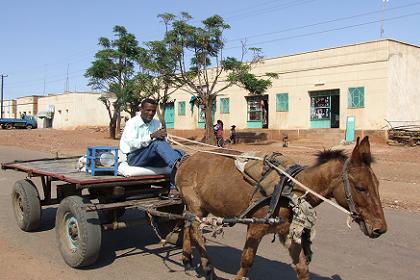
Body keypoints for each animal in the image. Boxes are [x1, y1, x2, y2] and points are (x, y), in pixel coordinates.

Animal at [174, 135, 388, 278]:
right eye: (361, 187)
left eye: (377, 184)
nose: (381, 228)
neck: (291, 190)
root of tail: (186, 159)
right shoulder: (255, 228)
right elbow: (246, 262)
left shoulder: (289, 232)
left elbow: (302, 267)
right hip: (195, 205)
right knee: (195, 231)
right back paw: (207, 267)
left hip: (197, 208)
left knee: (188, 226)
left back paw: (188, 261)